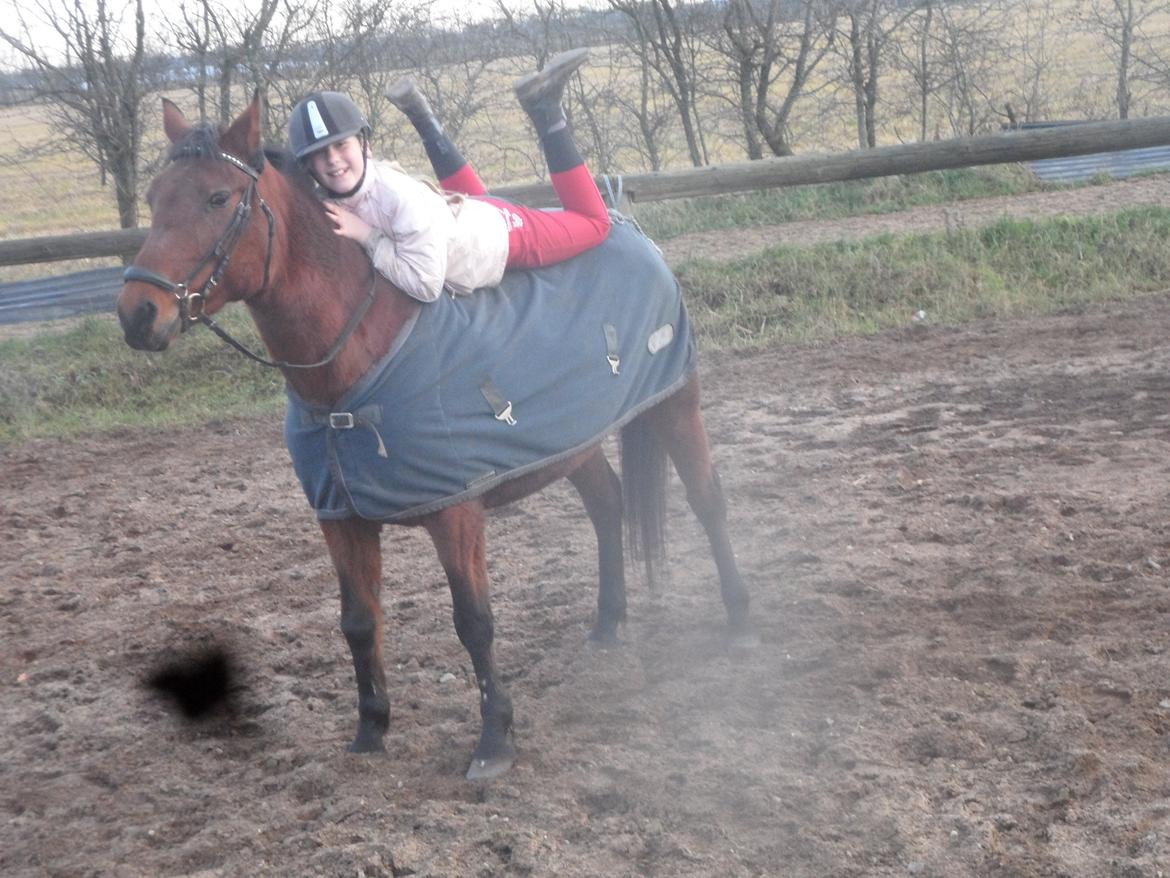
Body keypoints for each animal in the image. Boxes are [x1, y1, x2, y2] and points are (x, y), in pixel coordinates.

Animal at [116, 95, 754, 780]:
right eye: (154, 197)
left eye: (217, 197)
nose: (137, 314)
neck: (353, 373)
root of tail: (620, 224)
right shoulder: (341, 518)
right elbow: (358, 622)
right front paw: (370, 732)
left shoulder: (456, 513)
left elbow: (473, 621)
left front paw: (495, 739)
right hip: (573, 441)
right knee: (609, 505)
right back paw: (608, 625)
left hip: (675, 404)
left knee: (708, 501)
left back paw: (740, 619)